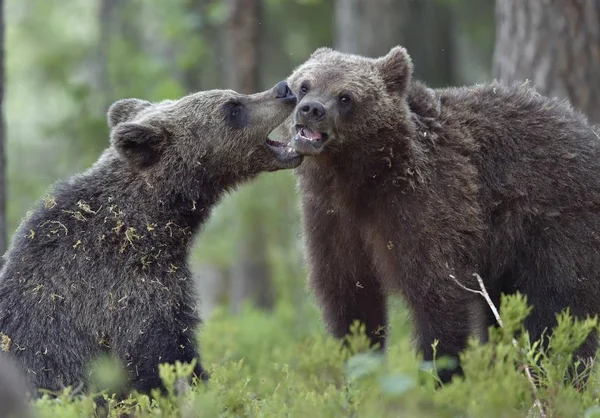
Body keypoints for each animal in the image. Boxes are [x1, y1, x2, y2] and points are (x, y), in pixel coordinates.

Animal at [284, 45, 600, 382]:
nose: (311, 109)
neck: (361, 179)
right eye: (304, 85)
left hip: (559, 223)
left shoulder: (425, 206)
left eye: (345, 96)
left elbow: (438, 294)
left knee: (558, 307)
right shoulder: (331, 219)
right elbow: (351, 299)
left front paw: (442, 374)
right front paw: (357, 373)